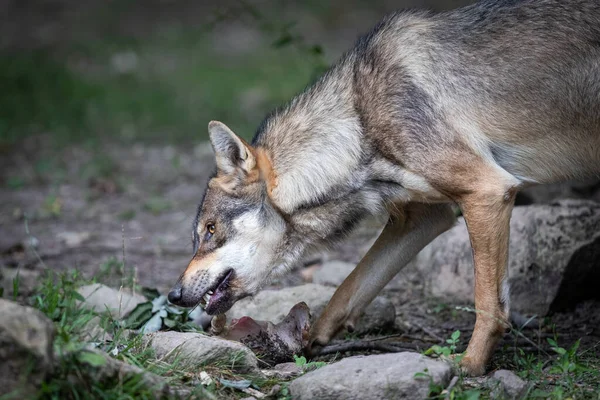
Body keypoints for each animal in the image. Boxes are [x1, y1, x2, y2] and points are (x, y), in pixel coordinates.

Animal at [168, 0, 600, 376]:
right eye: (199, 234)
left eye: (210, 230)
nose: (173, 295)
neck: (357, 126)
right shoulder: (425, 218)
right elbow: (347, 291)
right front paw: (304, 341)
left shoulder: (488, 192)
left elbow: (488, 304)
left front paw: (470, 366)